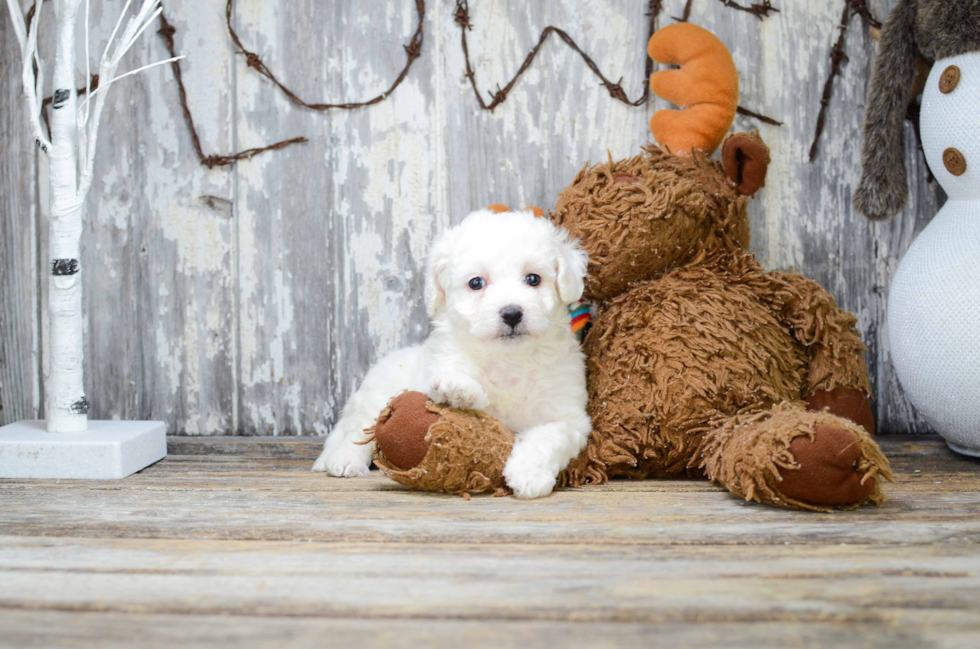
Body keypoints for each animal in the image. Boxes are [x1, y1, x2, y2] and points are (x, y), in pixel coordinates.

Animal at [314, 206, 588, 496]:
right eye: (476, 283)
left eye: (533, 279)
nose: (512, 313)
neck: (508, 358)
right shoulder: (443, 358)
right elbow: (451, 372)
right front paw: (457, 387)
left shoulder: (569, 415)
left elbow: (550, 435)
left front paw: (528, 474)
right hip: (375, 397)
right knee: (359, 430)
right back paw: (345, 460)